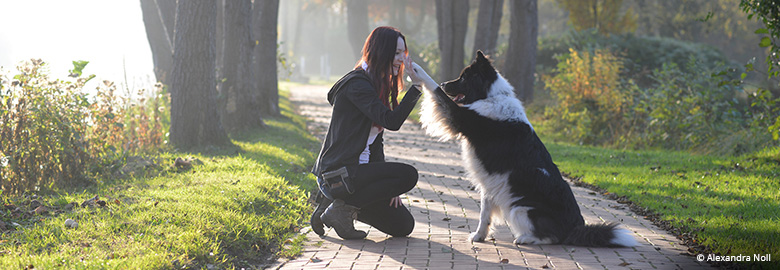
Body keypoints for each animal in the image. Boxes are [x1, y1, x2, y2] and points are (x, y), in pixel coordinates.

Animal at [424, 50, 636, 247]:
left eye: (464, 77)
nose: (444, 82)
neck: (491, 96)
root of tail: (575, 227)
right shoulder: (491, 182)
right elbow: (485, 213)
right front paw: (479, 236)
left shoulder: (460, 117)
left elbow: (434, 89)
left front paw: (418, 70)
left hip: (520, 208)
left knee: (552, 237)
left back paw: (525, 238)